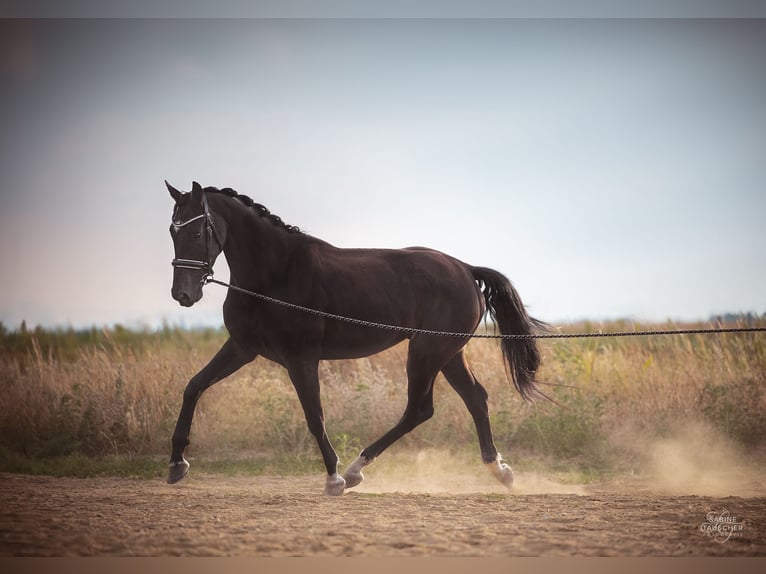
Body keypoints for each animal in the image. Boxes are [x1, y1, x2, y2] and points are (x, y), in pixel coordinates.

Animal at [166, 182, 544, 498]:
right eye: (172, 229)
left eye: (197, 230)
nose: (182, 294)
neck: (275, 274)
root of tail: (465, 268)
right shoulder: (242, 349)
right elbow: (193, 386)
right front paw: (176, 465)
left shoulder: (301, 359)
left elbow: (314, 416)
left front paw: (332, 478)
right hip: (448, 353)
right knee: (474, 399)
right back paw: (500, 472)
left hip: (426, 352)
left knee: (419, 409)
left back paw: (353, 471)